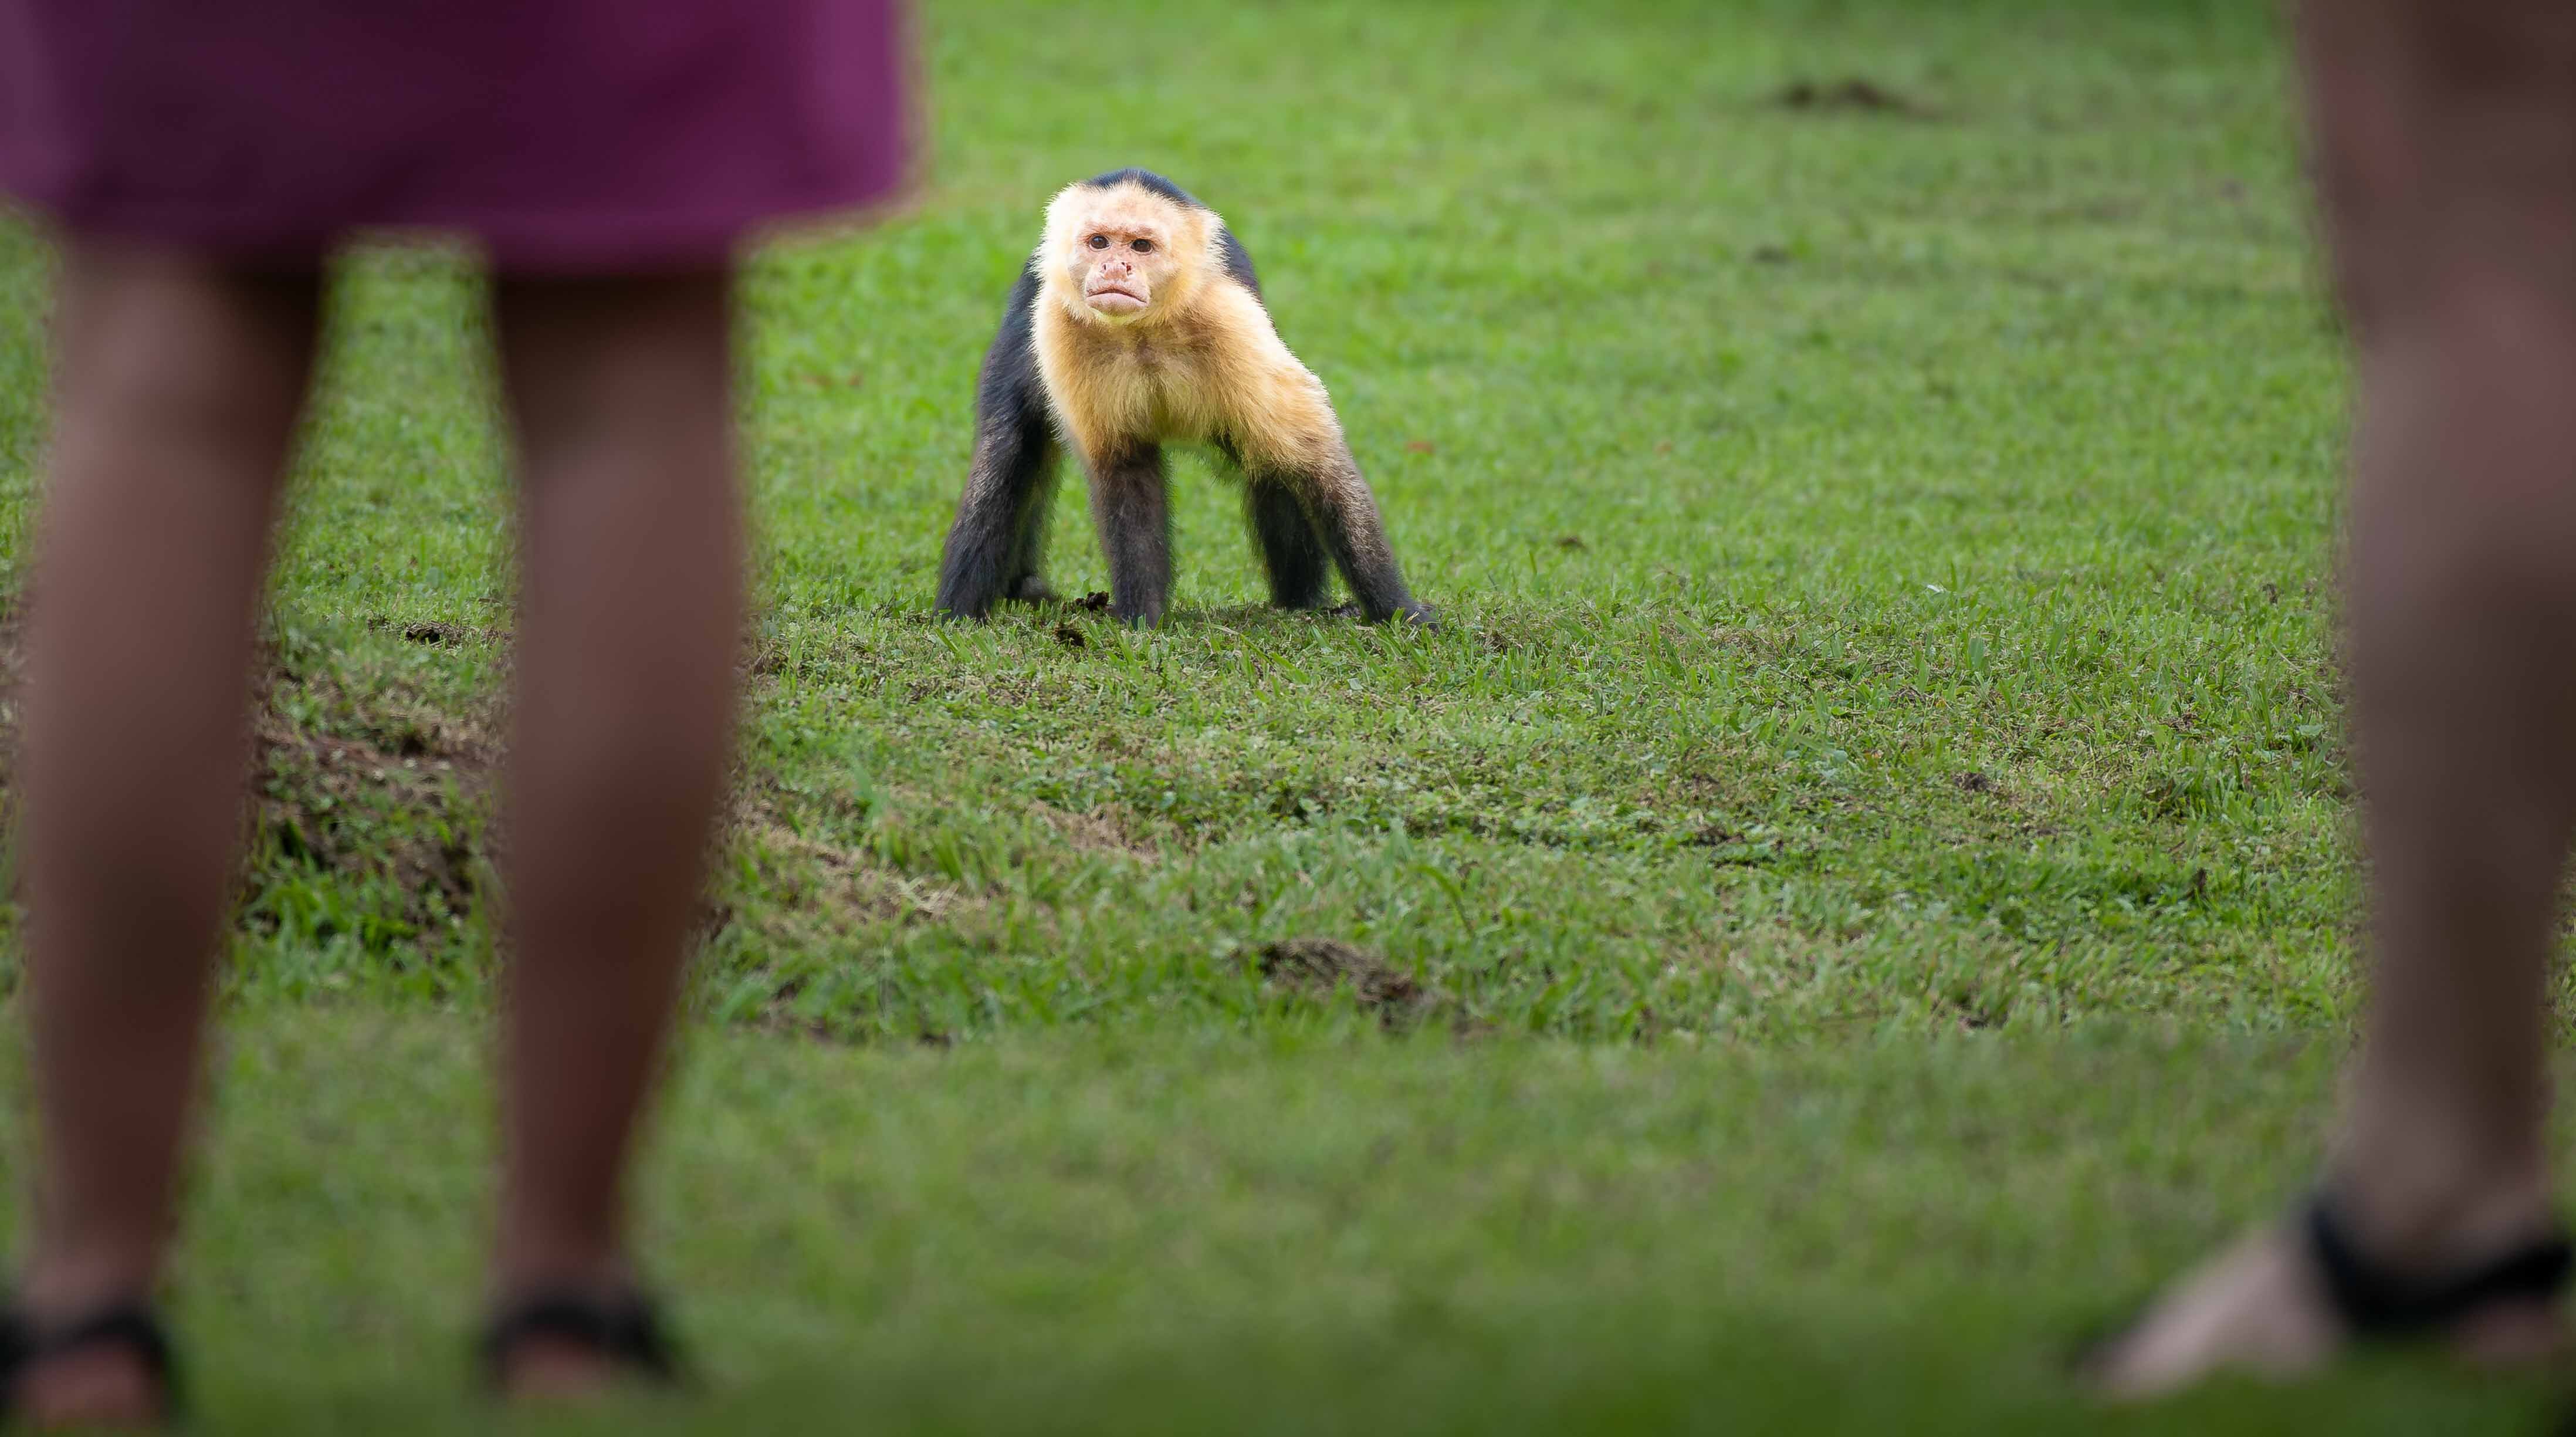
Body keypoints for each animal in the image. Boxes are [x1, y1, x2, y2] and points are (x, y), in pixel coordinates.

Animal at [935, 168, 1434, 629]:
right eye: (1099, 242)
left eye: (1140, 247)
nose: (1115, 268)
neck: (1143, 329)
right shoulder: (1062, 326)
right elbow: (1125, 468)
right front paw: (1143, 619)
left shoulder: (1229, 318)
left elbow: (1313, 458)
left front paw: (1398, 610)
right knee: (1008, 450)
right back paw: (958, 613)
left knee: (1269, 460)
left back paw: (1298, 604)